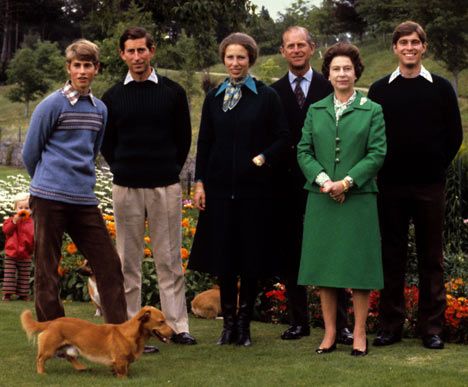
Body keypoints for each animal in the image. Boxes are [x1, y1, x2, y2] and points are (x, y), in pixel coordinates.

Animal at [20, 306, 174, 378]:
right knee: (40, 359)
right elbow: (122, 372)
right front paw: (123, 379)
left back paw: (81, 368)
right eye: (162, 322)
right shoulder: (120, 360)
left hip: (70, 347)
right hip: (49, 348)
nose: (174, 334)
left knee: (69, 357)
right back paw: (41, 373)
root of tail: (52, 322)